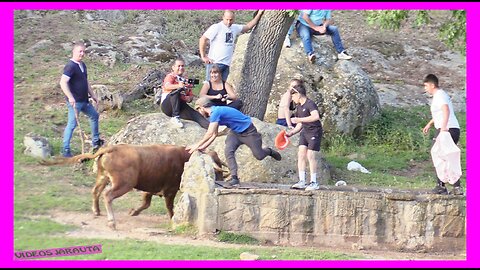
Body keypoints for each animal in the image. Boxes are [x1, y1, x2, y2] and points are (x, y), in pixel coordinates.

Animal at [40, 144, 228, 229]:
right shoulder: (170, 190)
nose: (220, 179)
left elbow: (145, 202)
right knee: (107, 195)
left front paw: (133, 212)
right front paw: (173, 218)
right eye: (216, 167)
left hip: (103, 177)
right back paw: (111, 221)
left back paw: (96, 211)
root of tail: (111, 148)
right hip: (123, 183)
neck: (184, 157)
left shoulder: (151, 188)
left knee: (95, 191)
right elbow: (169, 207)